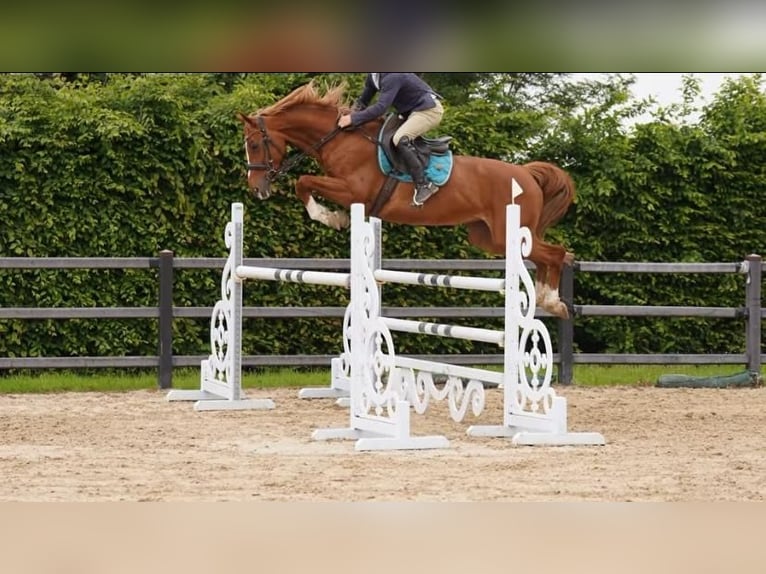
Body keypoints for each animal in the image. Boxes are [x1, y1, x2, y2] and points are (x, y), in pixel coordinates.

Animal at [238, 80, 576, 318]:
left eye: (254, 145)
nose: (256, 189)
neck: (341, 140)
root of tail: (527, 173)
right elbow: (304, 182)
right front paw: (330, 217)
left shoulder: (353, 192)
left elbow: (303, 181)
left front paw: (332, 218)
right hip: (489, 238)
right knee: (546, 255)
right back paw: (550, 301)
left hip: (511, 232)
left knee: (557, 253)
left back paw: (553, 302)